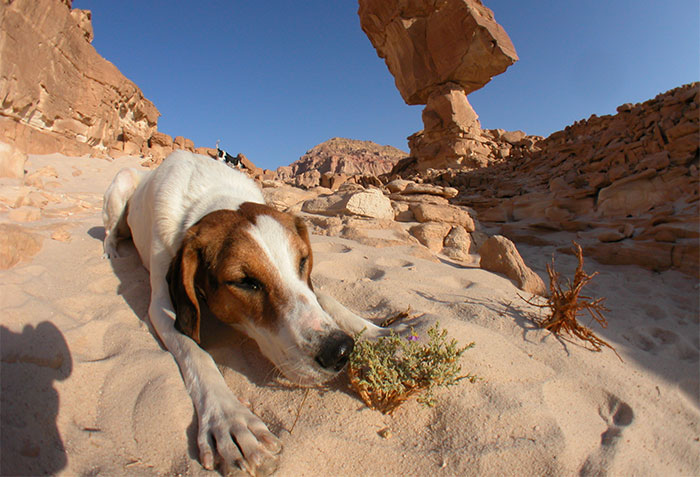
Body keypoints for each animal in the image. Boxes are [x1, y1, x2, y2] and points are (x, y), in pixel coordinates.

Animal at [103, 151, 400, 474]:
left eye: (303, 261)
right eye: (245, 282)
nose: (340, 350)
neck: (213, 193)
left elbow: (324, 297)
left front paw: (378, 334)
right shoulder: (162, 304)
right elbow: (196, 353)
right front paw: (230, 419)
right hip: (120, 186)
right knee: (109, 231)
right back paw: (111, 250)